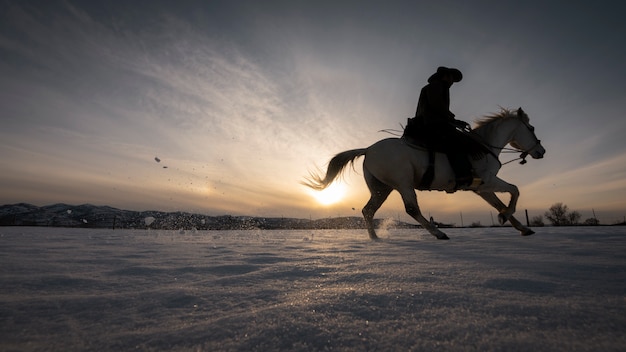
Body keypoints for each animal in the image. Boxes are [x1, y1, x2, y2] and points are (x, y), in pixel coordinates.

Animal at [304, 107, 544, 239]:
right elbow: (514, 191)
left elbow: (500, 203)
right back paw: (439, 233)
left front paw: (520, 227)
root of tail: (368, 149)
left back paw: (375, 238)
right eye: (531, 128)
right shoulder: (487, 182)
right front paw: (506, 217)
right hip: (403, 184)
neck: (483, 146)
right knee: (411, 209)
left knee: (368, 210)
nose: (541, 151)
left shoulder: (481, 188)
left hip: (382, 188)